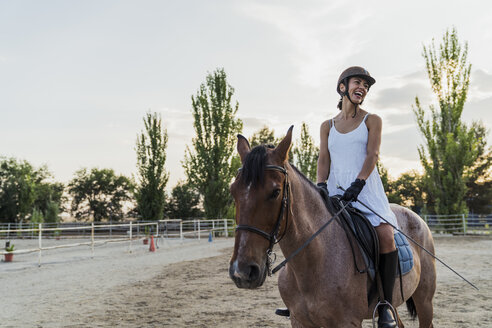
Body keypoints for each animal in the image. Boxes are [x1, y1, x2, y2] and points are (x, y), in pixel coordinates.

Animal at [229, 127, 436, 326]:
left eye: (275, 192)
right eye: (233, 191)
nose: (242, 271)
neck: (313, 262)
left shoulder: (347, 322)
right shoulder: (299, 320)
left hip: (424, 300)